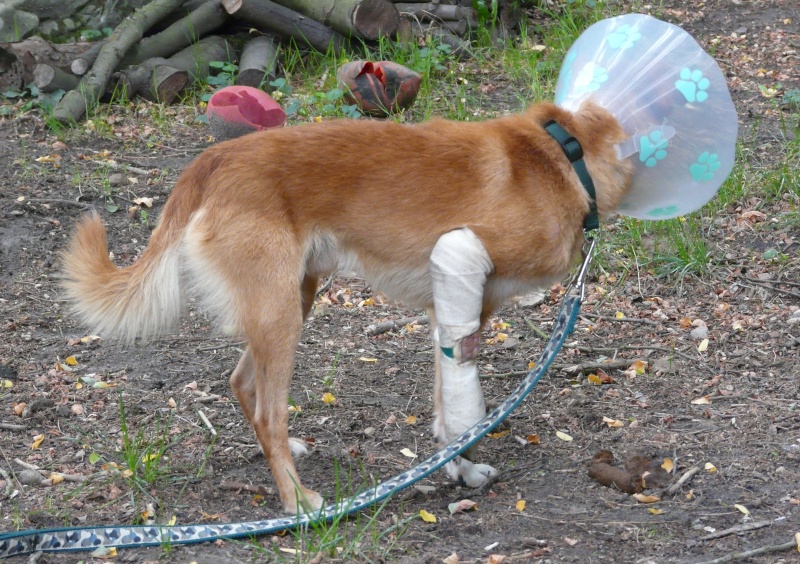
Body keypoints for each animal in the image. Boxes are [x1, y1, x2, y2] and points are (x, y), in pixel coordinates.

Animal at [62, 99, 632, 512]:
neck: (564, 154)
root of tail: (214, 158)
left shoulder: (445, 316)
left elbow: (446, 411)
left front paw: (459, 469)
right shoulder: (466, 288)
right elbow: (459, 411)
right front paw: (461, 464)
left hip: (294, 297)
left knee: (243, 383)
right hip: (281, 316)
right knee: (269, 412)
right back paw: (297, 500)